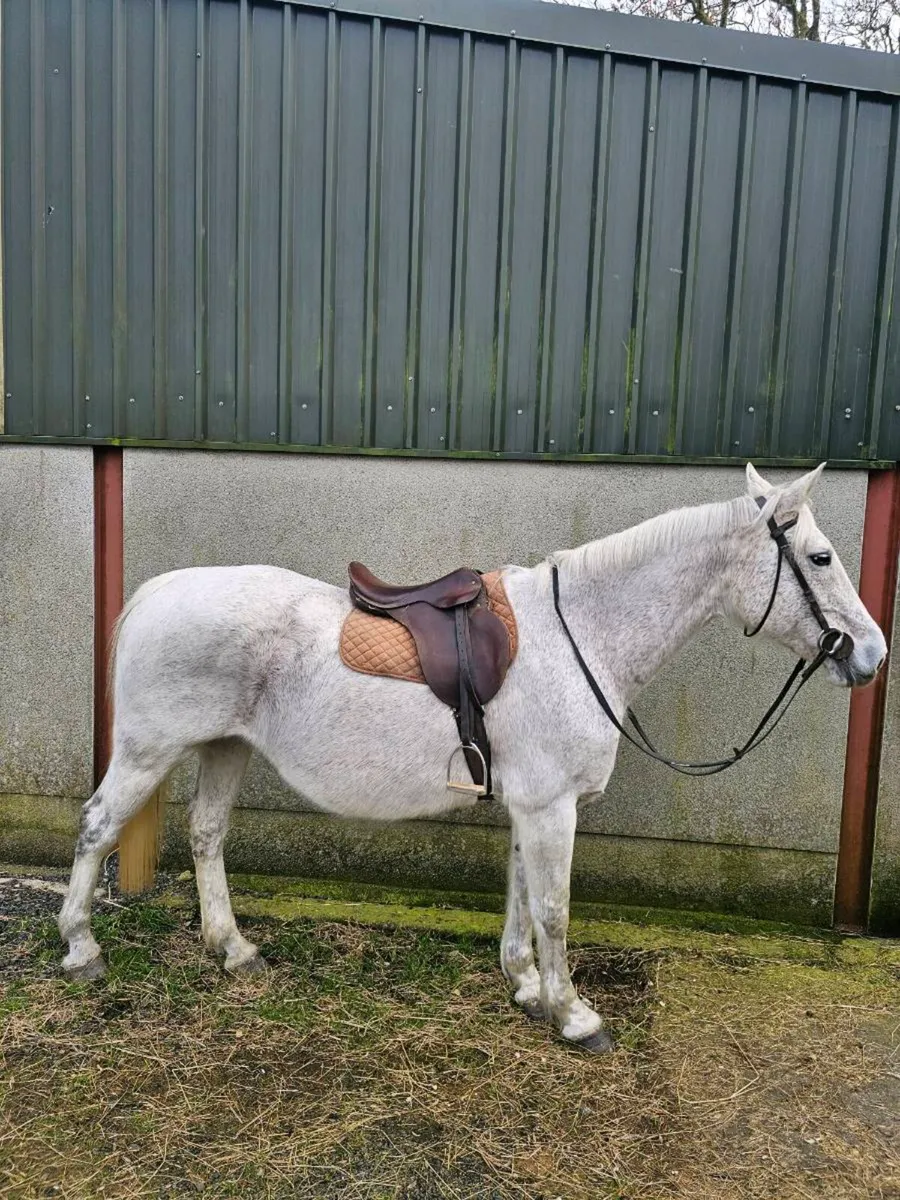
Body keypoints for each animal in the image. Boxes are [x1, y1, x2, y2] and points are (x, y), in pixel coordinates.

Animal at [58, 463, 886, 1052]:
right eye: (820, 557)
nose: (872, 654)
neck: (582, 635)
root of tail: (156, 591)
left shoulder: (534, 803)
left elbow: (520, 894)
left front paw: (526, 988)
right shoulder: (552, 807)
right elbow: (553, 907)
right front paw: (574, 1015)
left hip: (225, 748)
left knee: (206, 836)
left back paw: (232, 949)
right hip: (149, 750)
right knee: (97, 828)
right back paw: (81, 948)